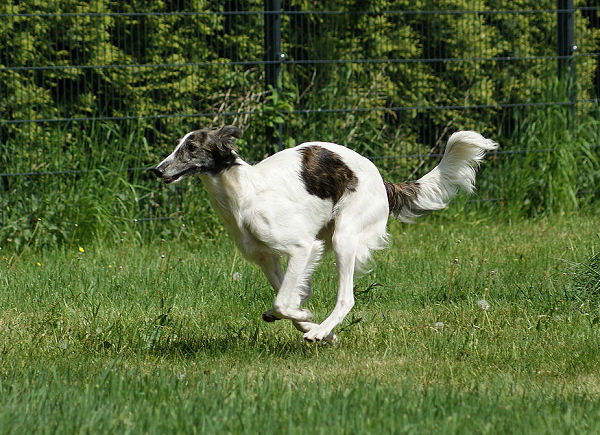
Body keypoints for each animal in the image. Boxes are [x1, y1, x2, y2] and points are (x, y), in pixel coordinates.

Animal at [152, 126, 500, 344]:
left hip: (344, 237)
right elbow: (288, 298)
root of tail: (383, 180)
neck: (245, 194)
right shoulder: (266, 259)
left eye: (191, 147)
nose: (156, 170)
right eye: (178, 146)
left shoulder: (303, 247)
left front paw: (313, 325)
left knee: (347, 297)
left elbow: (283, 302)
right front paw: (312, 323)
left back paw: (320, 331)